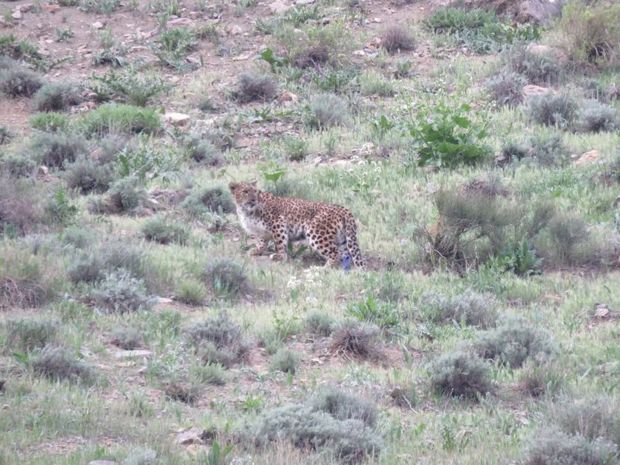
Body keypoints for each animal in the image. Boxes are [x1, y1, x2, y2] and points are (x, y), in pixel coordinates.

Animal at [229, 181, 364, 268]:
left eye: (255, 191)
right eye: (245, 191)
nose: (253, 199)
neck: (246, 211)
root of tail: (343, 209)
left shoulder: (277, 222)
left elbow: (280, 243)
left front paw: (279, 256)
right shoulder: (260, 231)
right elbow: (261, 242)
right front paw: (256, 250)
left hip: (316, 233)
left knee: (336, 254)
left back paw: (323, 269)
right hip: (342, 239)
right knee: (346, 255)